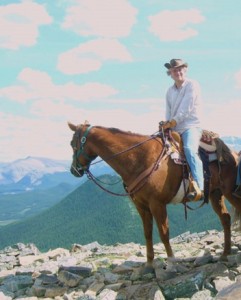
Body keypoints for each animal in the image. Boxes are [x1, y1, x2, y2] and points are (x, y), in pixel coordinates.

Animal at [68, 120, 241, 270]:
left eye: (71, 143)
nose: (73, 170)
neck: (139, 158)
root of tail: (233, 154)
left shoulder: (157, 204)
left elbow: (164, 233)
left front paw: (171, 262)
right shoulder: (141, 205)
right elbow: (147, 233)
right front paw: (149, 263)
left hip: (231, 193)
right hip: (215, 193)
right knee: (225, 218)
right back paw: (225, 253)